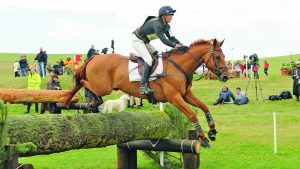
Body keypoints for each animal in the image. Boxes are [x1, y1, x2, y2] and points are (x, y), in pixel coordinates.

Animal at [63, 39, 227, 147]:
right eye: (218, 57)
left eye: (224, 57)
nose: (225, 76)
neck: (178, 67)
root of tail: (95, 57)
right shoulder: (174, 98)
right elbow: (192, 114)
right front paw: (203, 139)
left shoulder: (186, 95)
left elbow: (205, 107)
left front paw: (212, 131)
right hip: (103, 87)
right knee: (82, 81)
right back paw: (87, 100)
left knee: (81, 82)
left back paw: (71, 101)